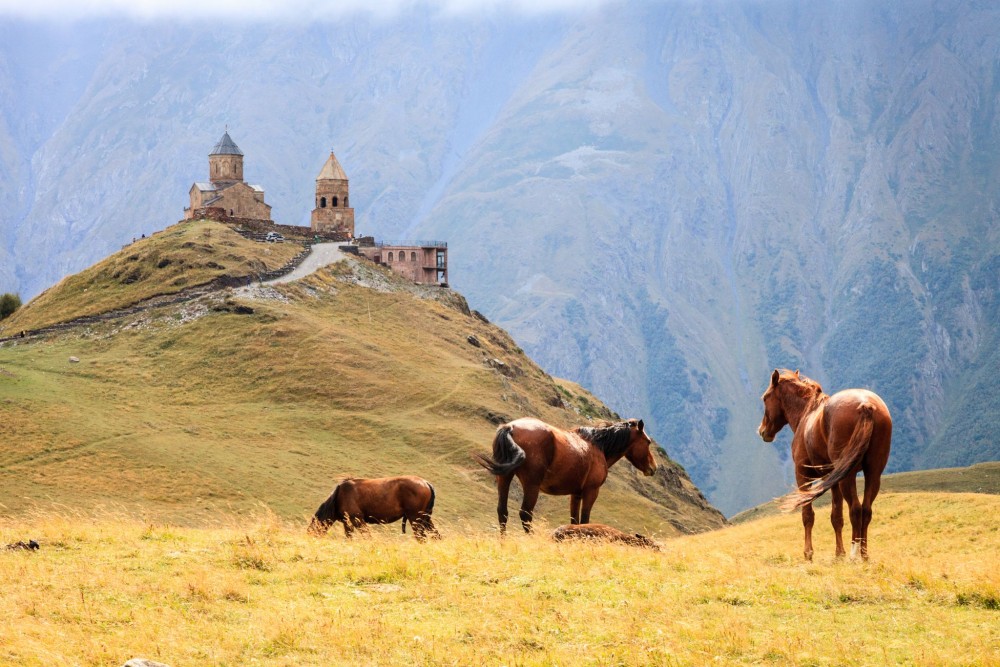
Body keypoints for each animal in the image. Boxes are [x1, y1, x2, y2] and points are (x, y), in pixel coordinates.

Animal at [308, 476, 440, 542]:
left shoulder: (357, 520)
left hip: (415, 519)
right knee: (435, 535)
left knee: (421, 538)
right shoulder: (348, 523)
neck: (339, 496)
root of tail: (426, 483)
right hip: (425, 519)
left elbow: (367, 537)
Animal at [474, 417, 657, 533]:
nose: (653, 468)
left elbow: (574, 521)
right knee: (525, 514)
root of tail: (511, 427)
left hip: (504, 478)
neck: (598, 446)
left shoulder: (576, 494)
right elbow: (585, 520)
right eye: (648, 442)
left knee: (502, 511)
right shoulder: (591, 491)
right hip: (531, 485)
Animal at [758, 369, 892, 560]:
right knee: (866, 509)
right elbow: (836, 516)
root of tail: (865, 405)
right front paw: (839, 553)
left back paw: (854, 555)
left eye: (765, 397)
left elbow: (808, 515)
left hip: (848, 476)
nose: (762, 431)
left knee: (856, 509)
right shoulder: (831, 478)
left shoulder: (802, 475)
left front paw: (808, 554)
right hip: (873, 472)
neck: (806, 415)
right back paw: (864, 555)